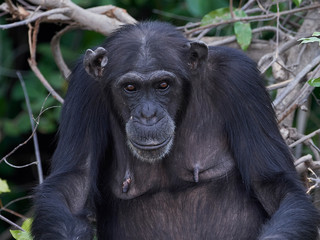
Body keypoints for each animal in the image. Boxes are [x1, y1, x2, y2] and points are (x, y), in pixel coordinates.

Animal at [31, 21, 318, 240]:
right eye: (130, 88)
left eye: (163, 85)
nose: (148, 114)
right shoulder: (83, 88)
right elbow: (73, 185)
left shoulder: (240, 79)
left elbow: (272, 183)